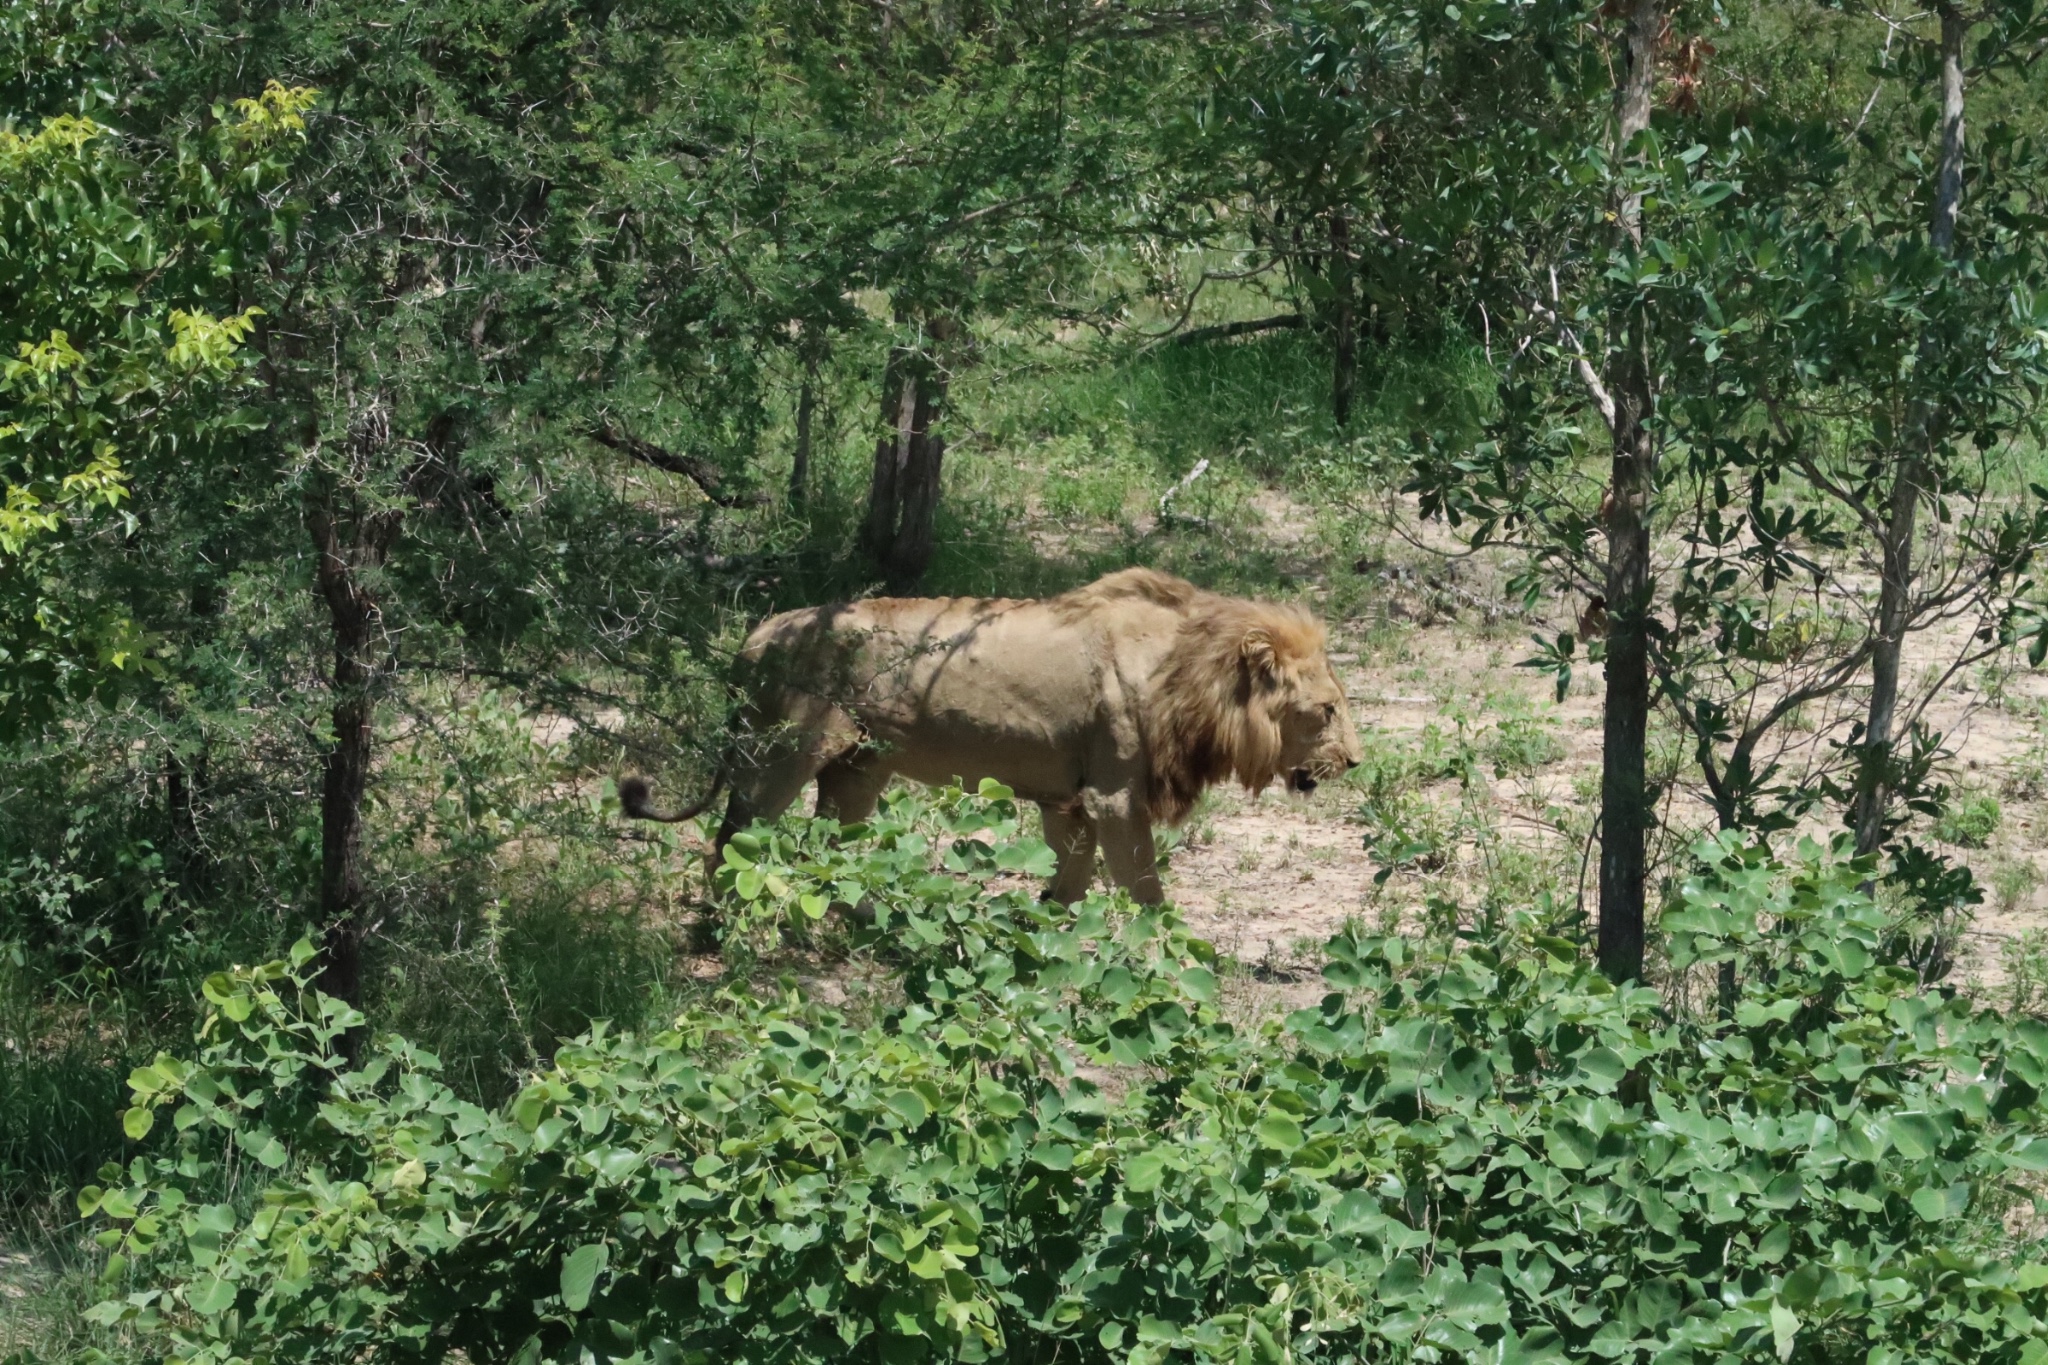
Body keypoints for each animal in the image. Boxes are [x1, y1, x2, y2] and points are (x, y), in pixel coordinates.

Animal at [622, 568, 1359, 908]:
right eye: (1325, 710)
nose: (1353, 761)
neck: (1190, 673)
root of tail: (758, 633)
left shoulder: (1070, 797)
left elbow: (1073, 874)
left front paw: (1048, 925)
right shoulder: (1117, 794)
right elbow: (1143, 884)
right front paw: (1166, 950)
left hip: (858, 770)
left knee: (830, 844)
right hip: (782, 754)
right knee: (732, 837)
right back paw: (723, 918)